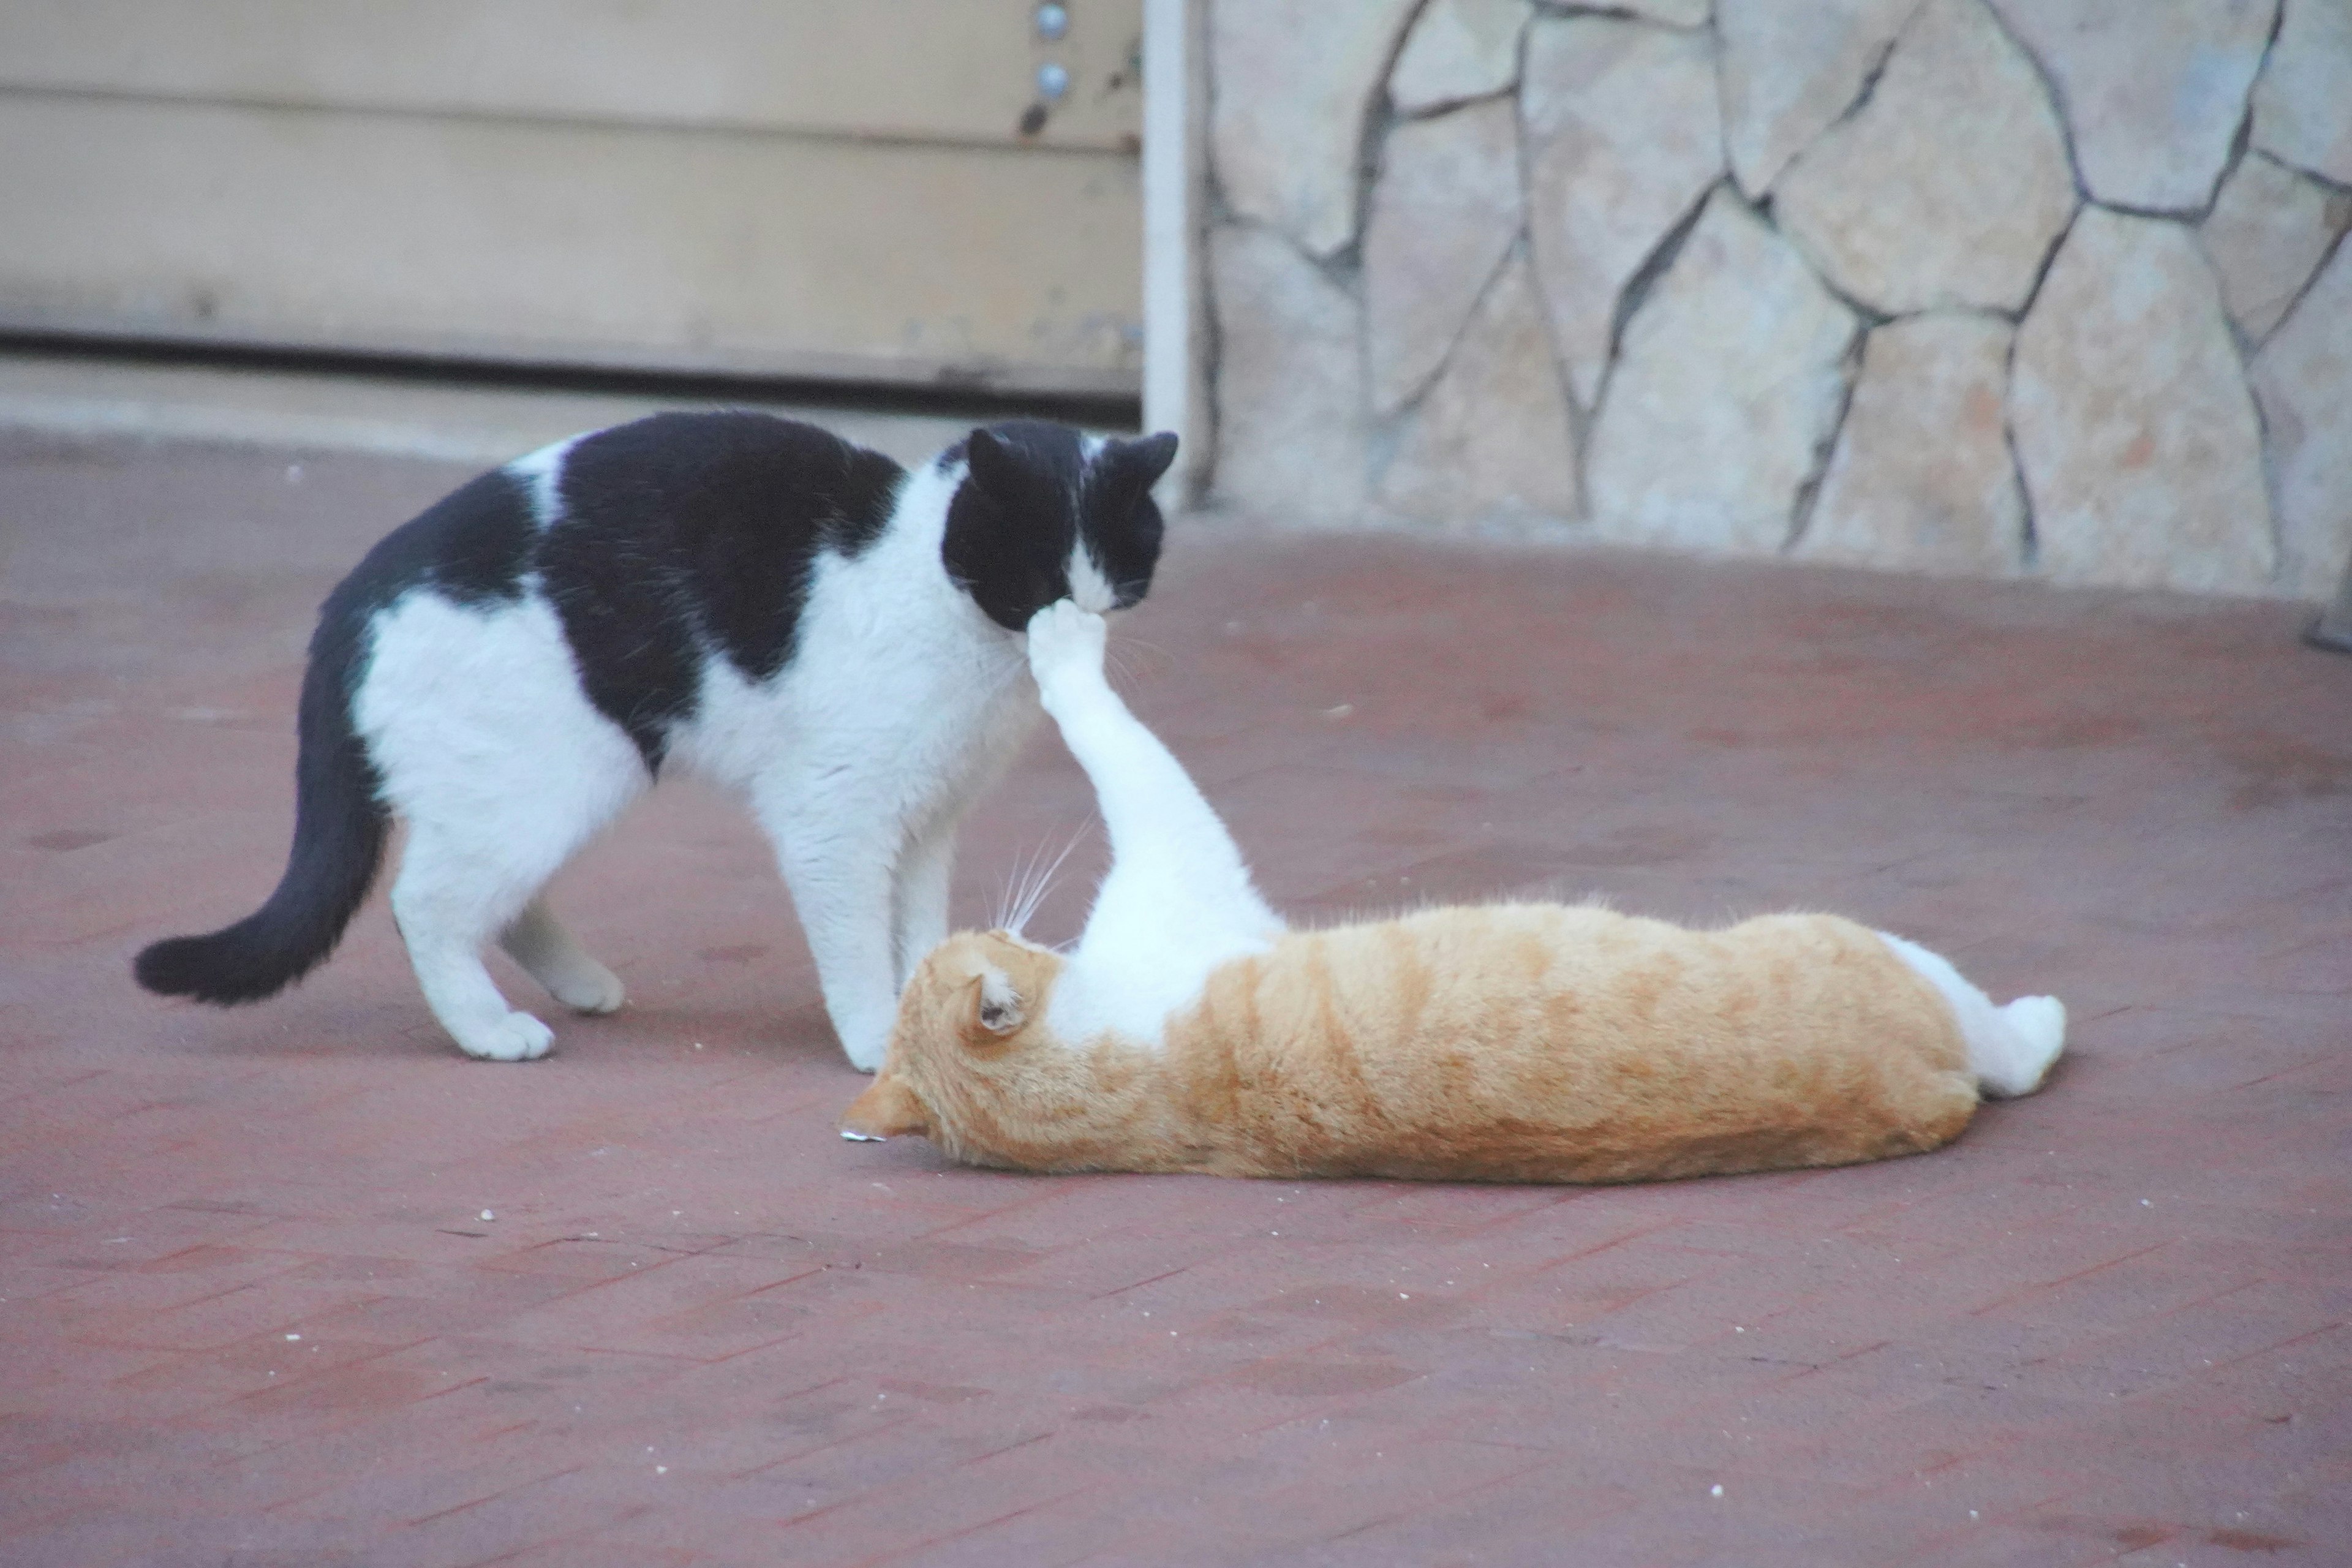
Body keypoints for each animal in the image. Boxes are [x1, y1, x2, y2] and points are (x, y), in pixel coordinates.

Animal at [133, 411, 1176, 1072]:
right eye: (1035, 579)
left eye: (1117, 579)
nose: (1075, 631)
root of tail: (354, 596)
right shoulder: (835, 817)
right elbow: (854, 941)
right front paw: (879, 1040)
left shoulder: (926, 823)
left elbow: (918, 932)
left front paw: (939, 1006)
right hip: (544, 783)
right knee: (424, 904)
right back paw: (489, 1031)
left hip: (555, 791)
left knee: (496, 902)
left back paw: (582, 986)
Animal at [842, 606, 2060, 1185]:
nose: (992, 917)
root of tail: (1923, 1085)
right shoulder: (1178, 852)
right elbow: (1103, 725)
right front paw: (1063, 640)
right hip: (1867, 945)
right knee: (2009, 1051)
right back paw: (2037, 1021)